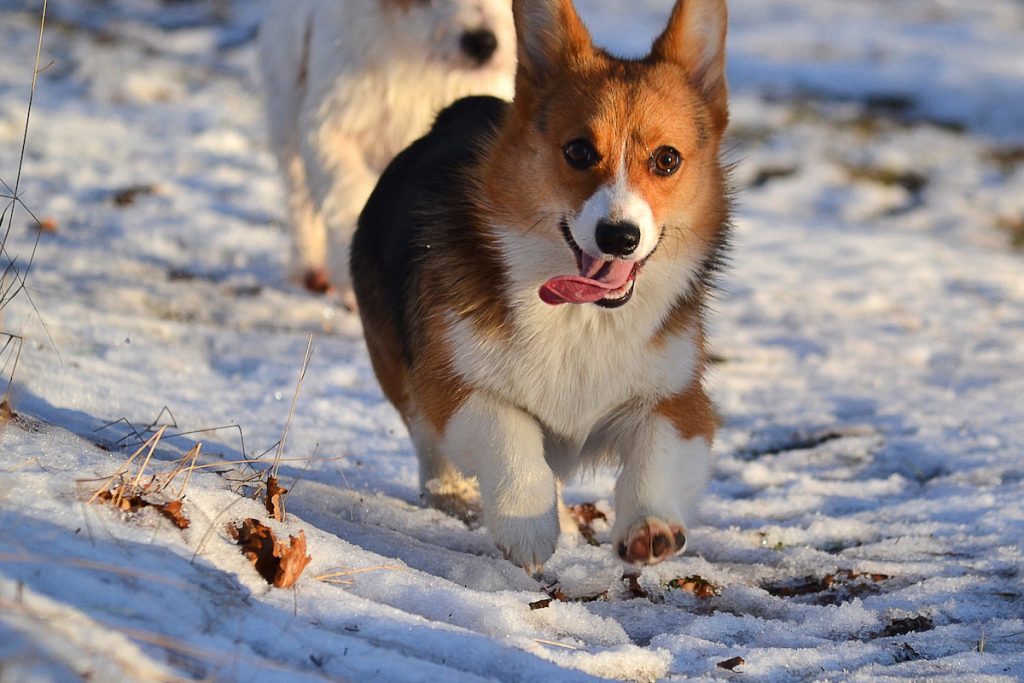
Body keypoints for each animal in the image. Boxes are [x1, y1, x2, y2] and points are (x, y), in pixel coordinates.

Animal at [256, 0, 512, 301]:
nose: (482, 43)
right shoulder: (330, 127)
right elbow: (345, 193)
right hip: (285, 112)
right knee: (299, 197)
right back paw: (309, 268)